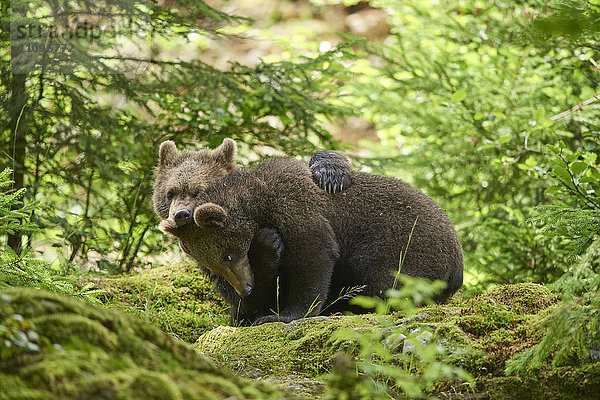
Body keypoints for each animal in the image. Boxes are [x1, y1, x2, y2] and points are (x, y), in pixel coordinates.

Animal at [161, 145, 464, 324]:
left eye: (228, 255)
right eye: (215, 265)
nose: (244, 288)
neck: (258, 203)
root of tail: (458, 264)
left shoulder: (297, 208)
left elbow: (313, 258)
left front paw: (283, 315)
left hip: (404, 247)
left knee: (386, 281)